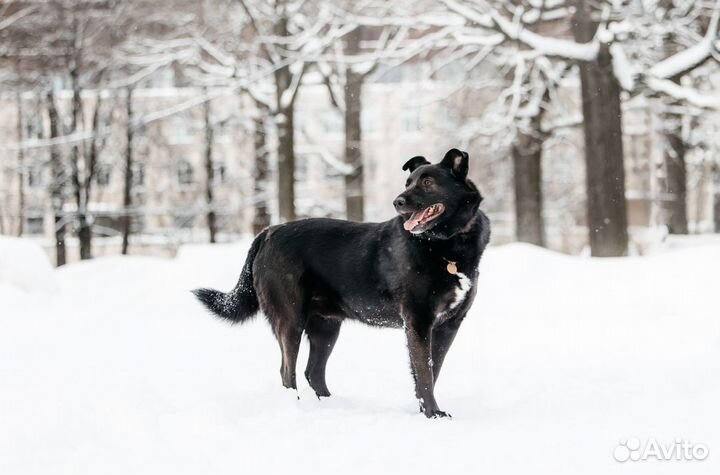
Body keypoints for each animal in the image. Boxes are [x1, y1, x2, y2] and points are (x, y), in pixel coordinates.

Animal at [194, 148, 492, 416]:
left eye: (428, 182)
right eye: (408, 183)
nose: (397, 202)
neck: (445, 246)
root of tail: (269, 231)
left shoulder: (449, 324)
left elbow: (432, 369)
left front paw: (423, 410)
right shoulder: (418, 321)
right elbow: (425, 372)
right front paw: (432, 414)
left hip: (326, 326)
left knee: (313, 372)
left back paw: (331, 406)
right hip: (290, 320)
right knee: (288, 372)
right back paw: (299, 409)